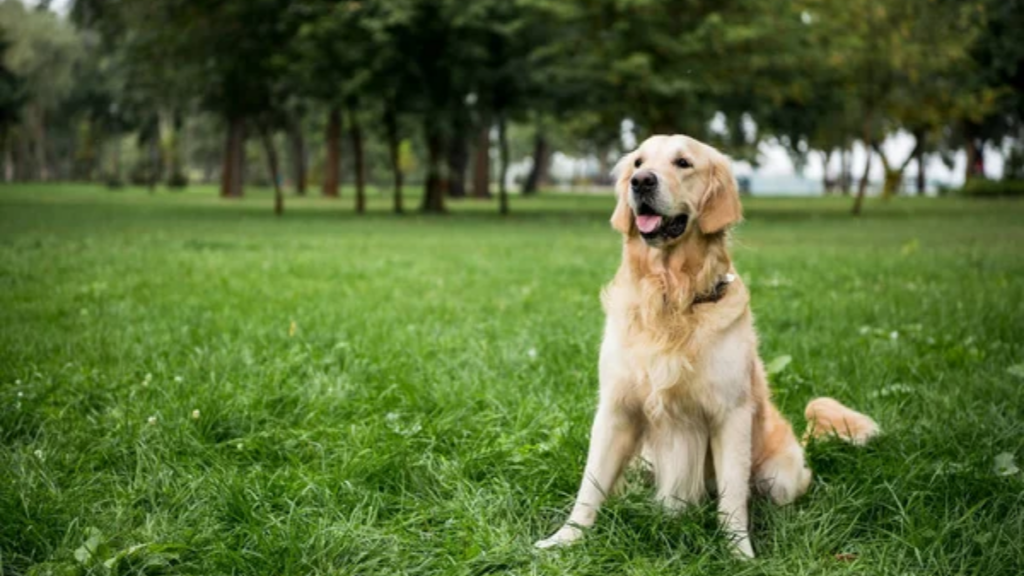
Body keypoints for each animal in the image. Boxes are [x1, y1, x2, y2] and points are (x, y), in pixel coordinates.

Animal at [532, 133, 876, 557]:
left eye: (683, 163)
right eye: (638, 163)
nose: (641, 182)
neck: (671, 297)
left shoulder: (730, 414)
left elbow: (732, 498)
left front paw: (740, 554)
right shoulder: (615, 409)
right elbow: (591, 483)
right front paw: (565, 538)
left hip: (780, 475)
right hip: (643, 459)